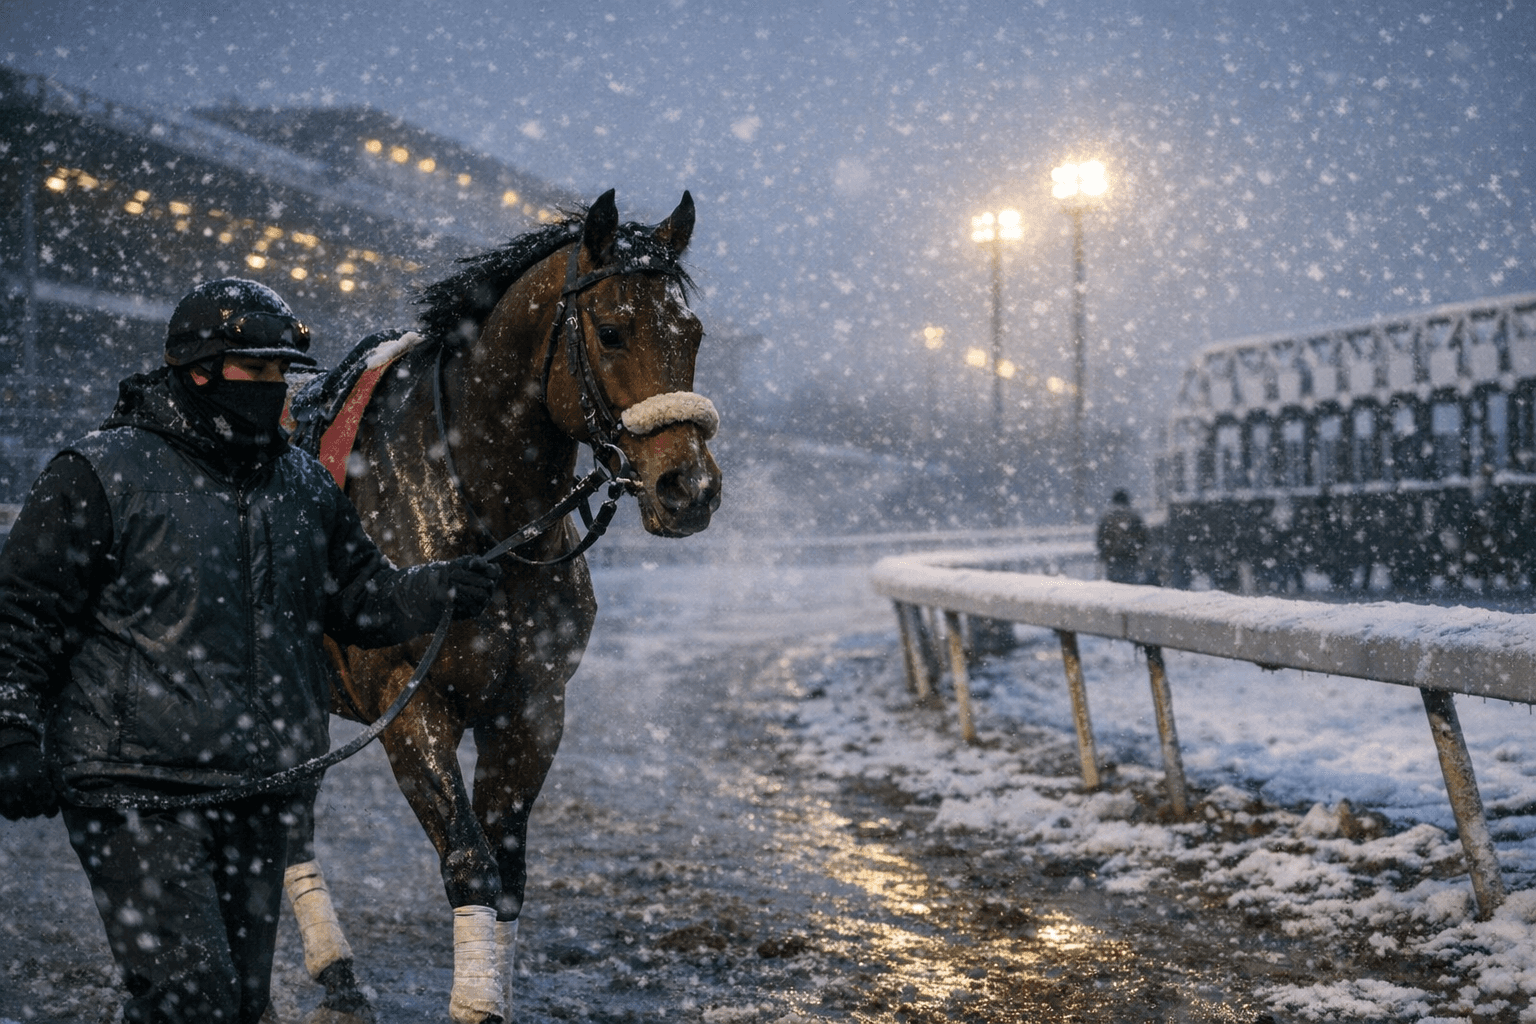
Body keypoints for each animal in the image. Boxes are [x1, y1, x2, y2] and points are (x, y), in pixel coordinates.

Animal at [280, 189, 721, 1024]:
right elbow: (469, 858)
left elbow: (509, 870)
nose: (690, 488)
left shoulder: (532, 706)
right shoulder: (408, 705)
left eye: (693, 333)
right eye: (612, 329)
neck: (478, 513)